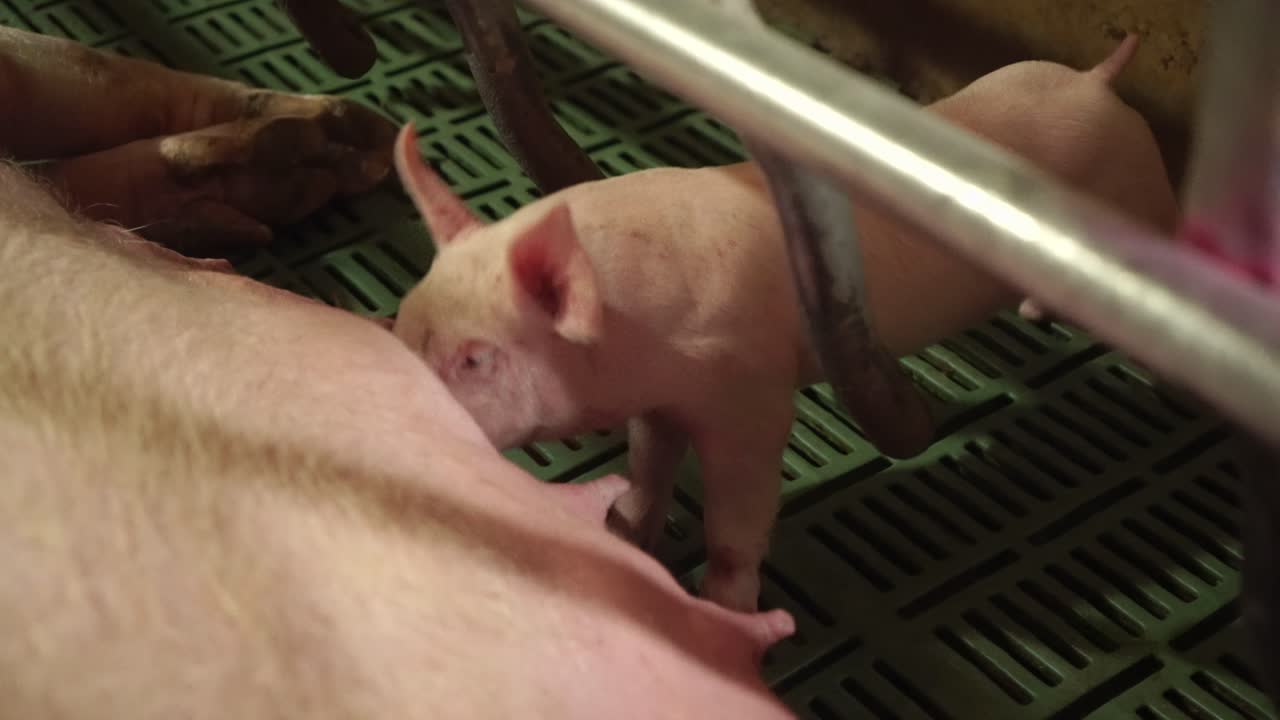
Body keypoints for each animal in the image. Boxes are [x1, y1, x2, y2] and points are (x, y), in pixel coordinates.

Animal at [389, 32, 1181, 613]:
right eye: (402, 321)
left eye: (475, 358)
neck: (640, 331)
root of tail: (1099, 82)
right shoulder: (662, 400)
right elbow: (648, 468)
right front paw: (624, 534)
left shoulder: (752, 396)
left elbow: (737, 521)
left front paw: (725, 610)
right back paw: (1034, 309)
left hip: (1145, 201)